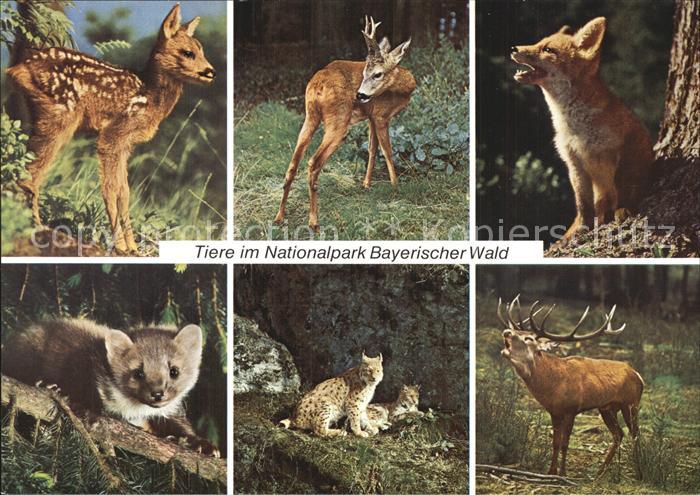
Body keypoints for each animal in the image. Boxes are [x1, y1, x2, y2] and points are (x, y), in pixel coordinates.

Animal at [6, 4, 216, 253]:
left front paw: (133, 248)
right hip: (59, 116)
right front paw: (121, 247)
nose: (211, 71)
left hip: (35, 115)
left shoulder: (126, 144)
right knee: (31, 174)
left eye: (202, 50)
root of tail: (18, 69)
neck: (149, 96)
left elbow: (124, 192)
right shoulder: (112, 135)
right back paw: (39, 228)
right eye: (188, 53)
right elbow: (110, 189)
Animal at [274, 16, 415, 231]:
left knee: (292, 164)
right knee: (313, 162)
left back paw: (279, 217)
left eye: (377, 74)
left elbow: (372, 148)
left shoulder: (371, 117)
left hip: (310, 116)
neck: (405, 88)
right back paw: (314, 221)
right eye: (365, 72)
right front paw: (396, 187)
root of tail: (316, 86)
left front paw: (366, 184)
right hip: (338, 121)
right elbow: (388, 151)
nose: (360, 95)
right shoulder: (381, 116)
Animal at [497, 295, 644, 478]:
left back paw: (639, 471)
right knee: (619, 434)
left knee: (635, 434)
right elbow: (555, 442)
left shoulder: (571, 409)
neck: (553, 386)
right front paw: (551, 471)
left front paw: (562, 473)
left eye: (528, 339)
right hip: (607, 408)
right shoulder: (554, 411)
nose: (506, 332)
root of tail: (638, 375)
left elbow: (565, 443)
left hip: (631, 403)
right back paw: (600, 472)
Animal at [511, 17, 654, 242]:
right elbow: (583, 204)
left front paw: (622, 210)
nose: (513, 48)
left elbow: (622, 186)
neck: (577, 127)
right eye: (538, 43)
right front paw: (584, 229)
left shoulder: (628, 145)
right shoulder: (574, 163)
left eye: (548, 49)